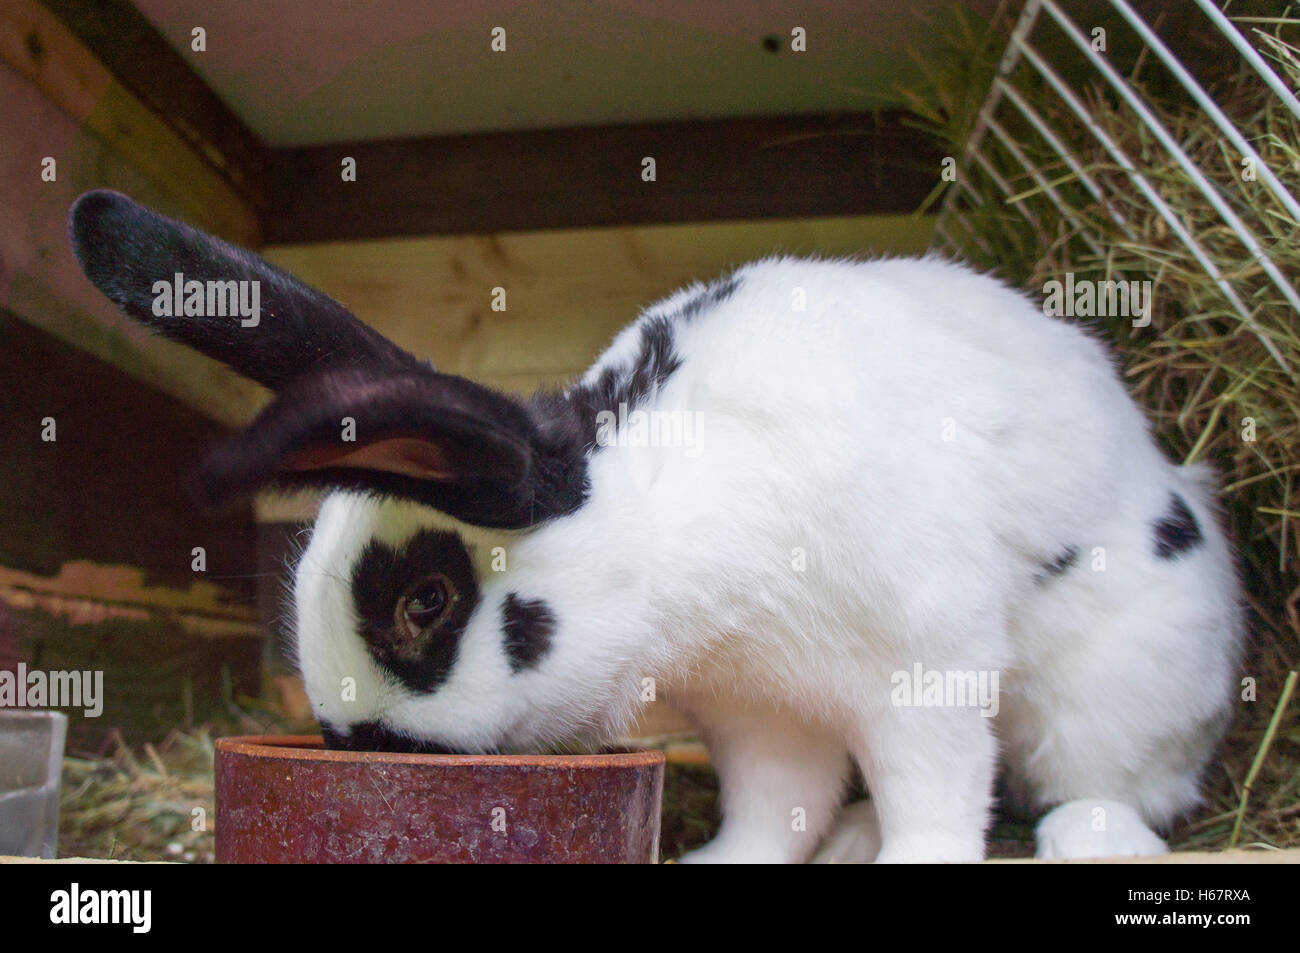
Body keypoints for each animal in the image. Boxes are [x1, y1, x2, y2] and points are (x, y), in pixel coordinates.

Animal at [68, 189, 1242, 863]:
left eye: (427, 601)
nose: (361, 743)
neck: (667, 516)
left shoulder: (923, 665)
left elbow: (938, 793)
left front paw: (912, 857)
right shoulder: (766, 710)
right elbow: (775, 808)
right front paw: (723, 864)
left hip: (1116, 684)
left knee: (1114, 785)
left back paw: (1088, 837)